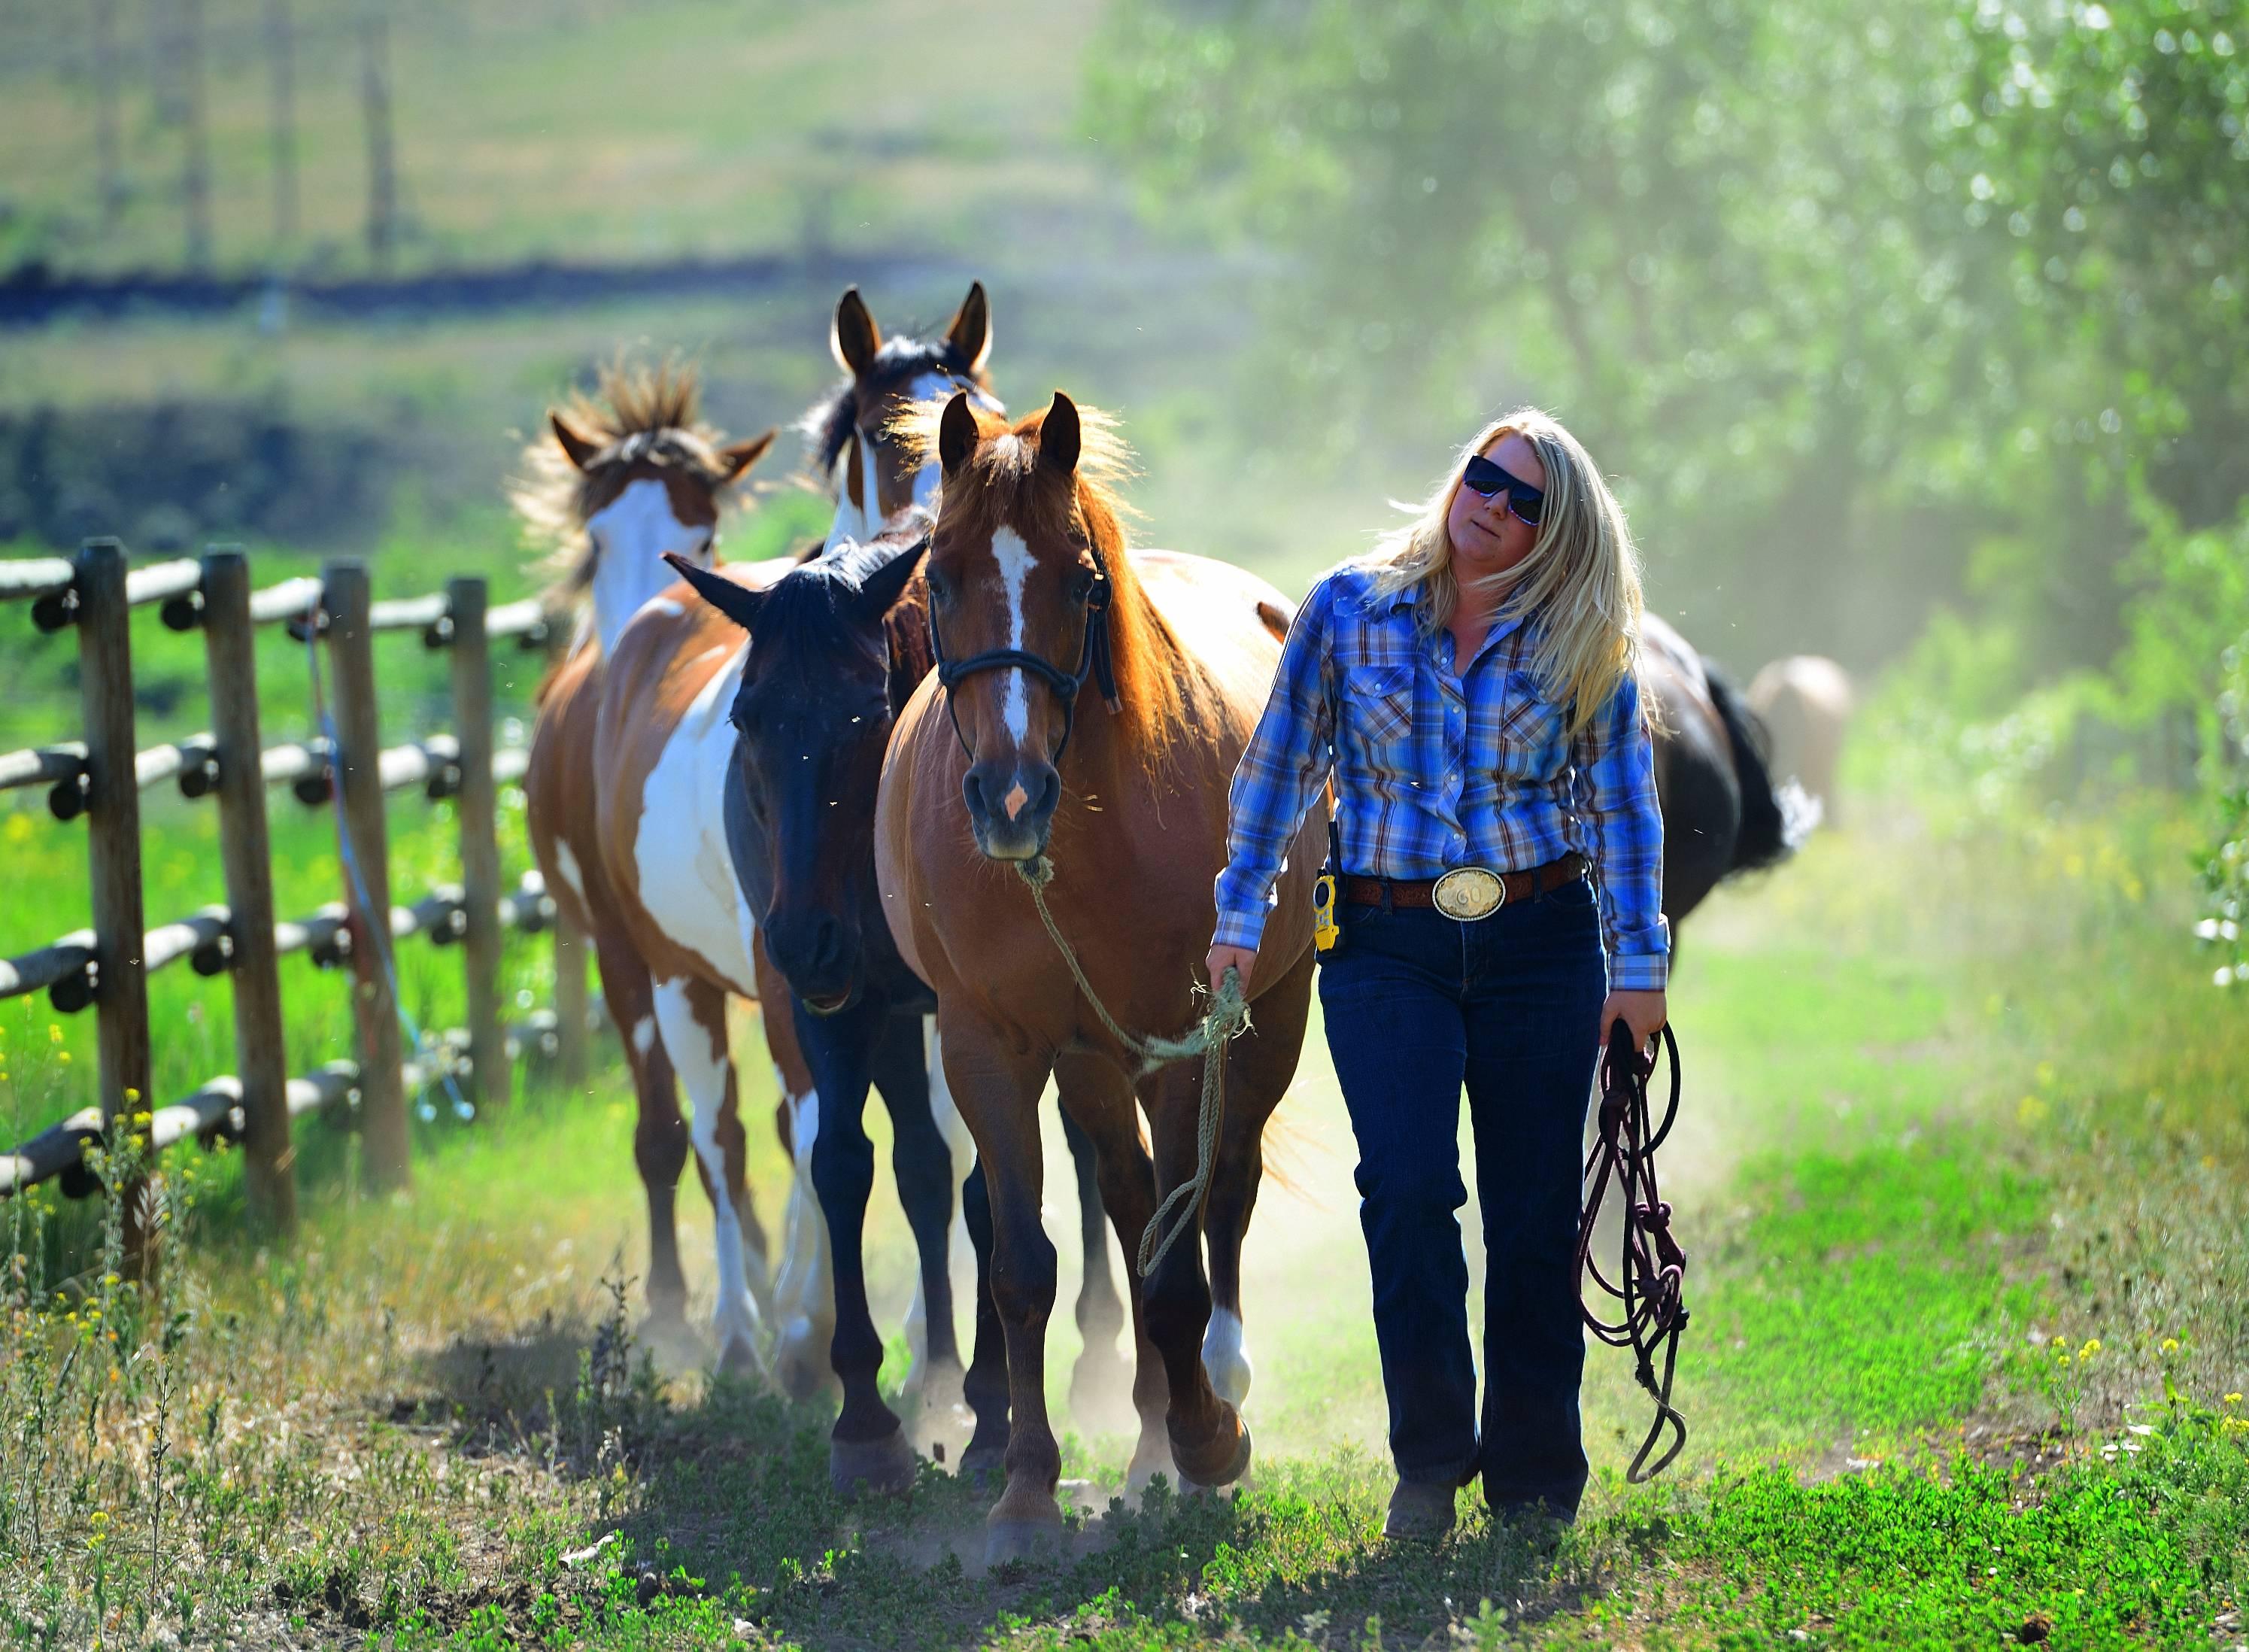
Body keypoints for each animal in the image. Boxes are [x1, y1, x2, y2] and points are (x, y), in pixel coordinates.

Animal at [863, 391, 1313, 1566]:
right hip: (1092, 1063)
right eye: (941, 576)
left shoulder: (1183, 1041)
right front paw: (1025, 1490)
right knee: (1128, 1196)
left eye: (1079, 581)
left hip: (1268, 1017)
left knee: (1220, 1195)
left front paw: (1210, 1439)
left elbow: (1175, 1267)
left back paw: (1212, 1400)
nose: (1009, 797)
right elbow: (1023, 1265)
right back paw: (1153, 1438)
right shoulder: (989, 1048)